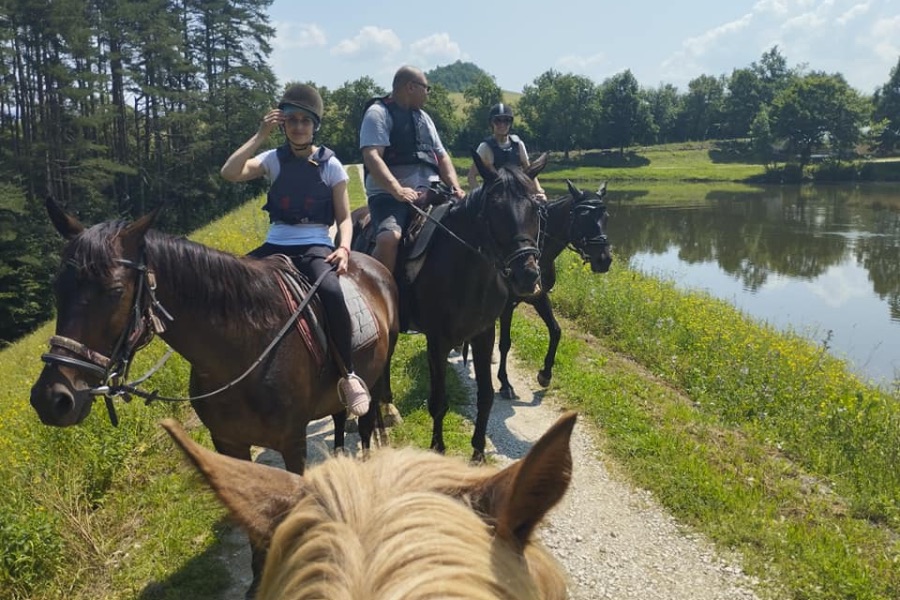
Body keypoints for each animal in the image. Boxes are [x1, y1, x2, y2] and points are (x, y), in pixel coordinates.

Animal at [29, 200, 400, 596]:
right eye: (57, 289)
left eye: (115, 290)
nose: (52, 398)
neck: (247, 347)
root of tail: (370, 263)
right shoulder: (228, 443)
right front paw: (259, 578)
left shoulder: (292, 442)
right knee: (340, 417)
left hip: (376, 368)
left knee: (366, 420)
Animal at [492, 180, 612, 400]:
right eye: (583, 218)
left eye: (605, 217)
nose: (604, 260)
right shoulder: (506, 305)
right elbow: (504, 342)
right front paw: (505, 382)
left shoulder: (539, 297)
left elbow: (556, 331)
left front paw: (545, 373)